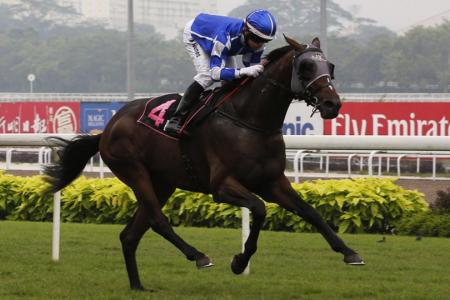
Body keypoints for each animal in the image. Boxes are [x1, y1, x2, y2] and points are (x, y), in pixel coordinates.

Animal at [44, 35, 364, 290]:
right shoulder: (222, 186)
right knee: (158, 221)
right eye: (306, 66)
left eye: (329, 67)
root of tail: (107, 128)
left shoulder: (273, 181)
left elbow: (310, 212)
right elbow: (259, 209)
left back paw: (137, 286)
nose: (332, 104)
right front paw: (239, 261)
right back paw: (198, 256)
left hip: (163, 182)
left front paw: (349, 252)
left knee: (130, 234)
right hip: (135, 171)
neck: (250, 121)